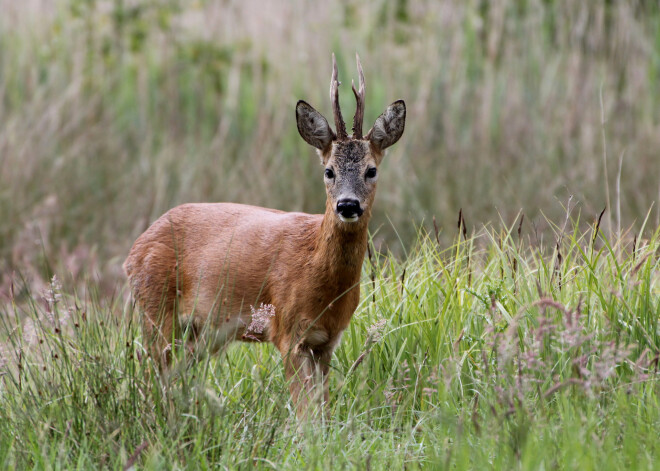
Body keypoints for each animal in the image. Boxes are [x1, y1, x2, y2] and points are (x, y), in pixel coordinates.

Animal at [121, 54, 404, 416]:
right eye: (329, 171)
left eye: (372, 170)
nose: (348, 205)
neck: (318, 272)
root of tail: (135, 249)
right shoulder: (287, 330)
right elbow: (306, 415)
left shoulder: (327, 341)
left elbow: (322, 412)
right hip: (155, 312)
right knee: (150, 377)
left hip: (200, 333)